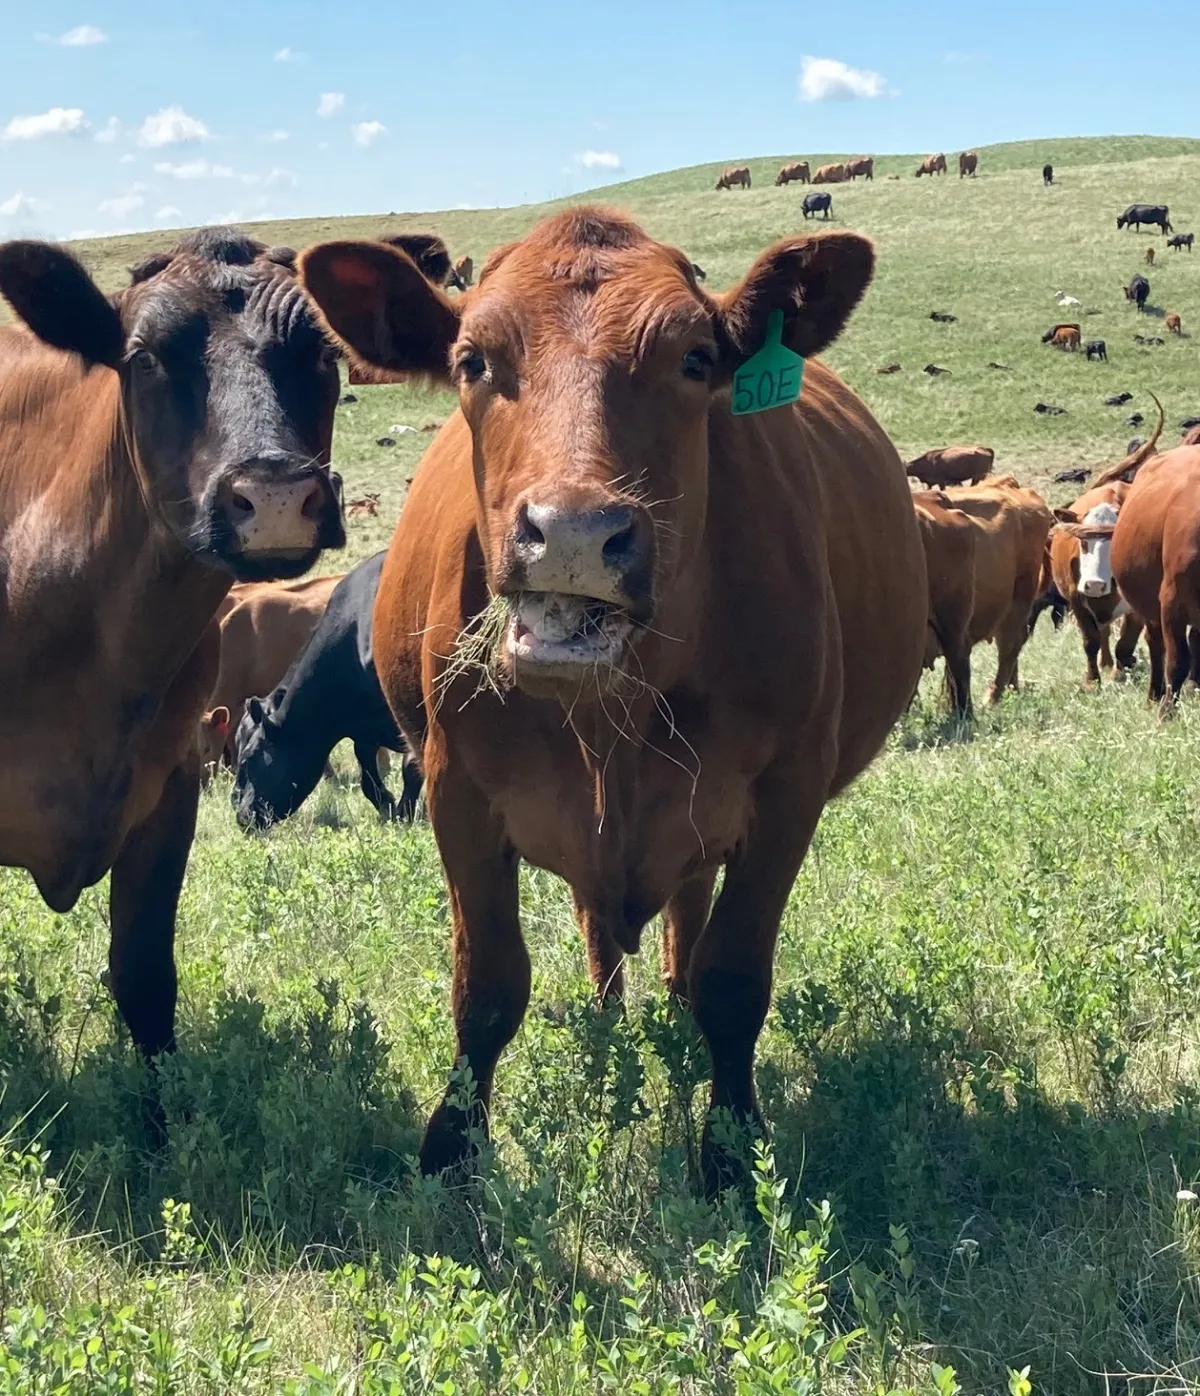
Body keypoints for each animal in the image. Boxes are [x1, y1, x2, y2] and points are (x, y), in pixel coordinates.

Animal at [233, 551, 422, 829]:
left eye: (248, 759)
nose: (241, 817)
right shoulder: (363, 730)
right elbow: (367, 775)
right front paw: (387, 806)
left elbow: (411, 766)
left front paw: (405, 812)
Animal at [297, 205, 929, 1190]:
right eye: (473, 360)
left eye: (696, 358)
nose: (574, 535)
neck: (613, 712)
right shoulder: (455, 791)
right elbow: (487, 986)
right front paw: (452, 1153)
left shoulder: (787, 795)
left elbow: (732, 982)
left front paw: (729, 1153)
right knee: (603, 937)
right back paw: (608, 1037)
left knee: (684, 934)